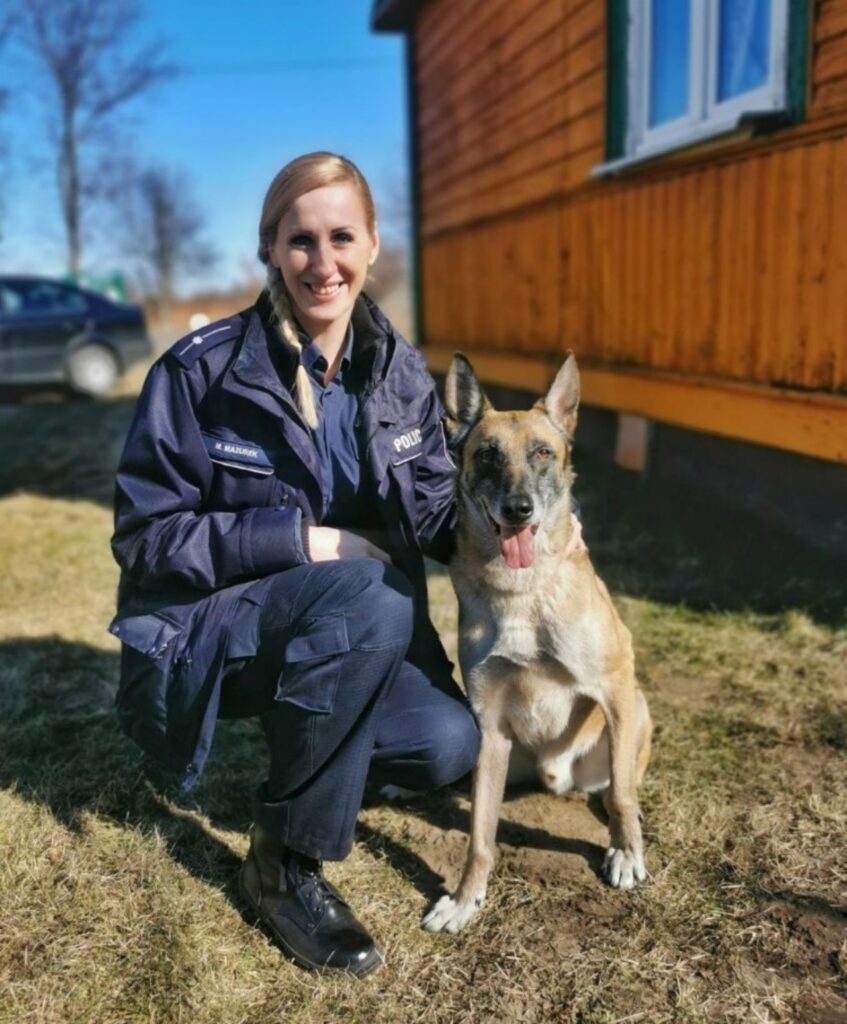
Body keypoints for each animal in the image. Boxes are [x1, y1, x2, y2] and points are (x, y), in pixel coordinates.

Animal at [424, 352, 655, 937]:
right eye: (487, 454)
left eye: (543, 453)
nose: (519, 509)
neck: (522, 589)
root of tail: (557, 776)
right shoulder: (488, 728)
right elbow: (480, 838)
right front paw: (465, 899)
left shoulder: (616, 685)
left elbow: (623, 793)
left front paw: (627, 852)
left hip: (635, 709)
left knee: (619, 786)